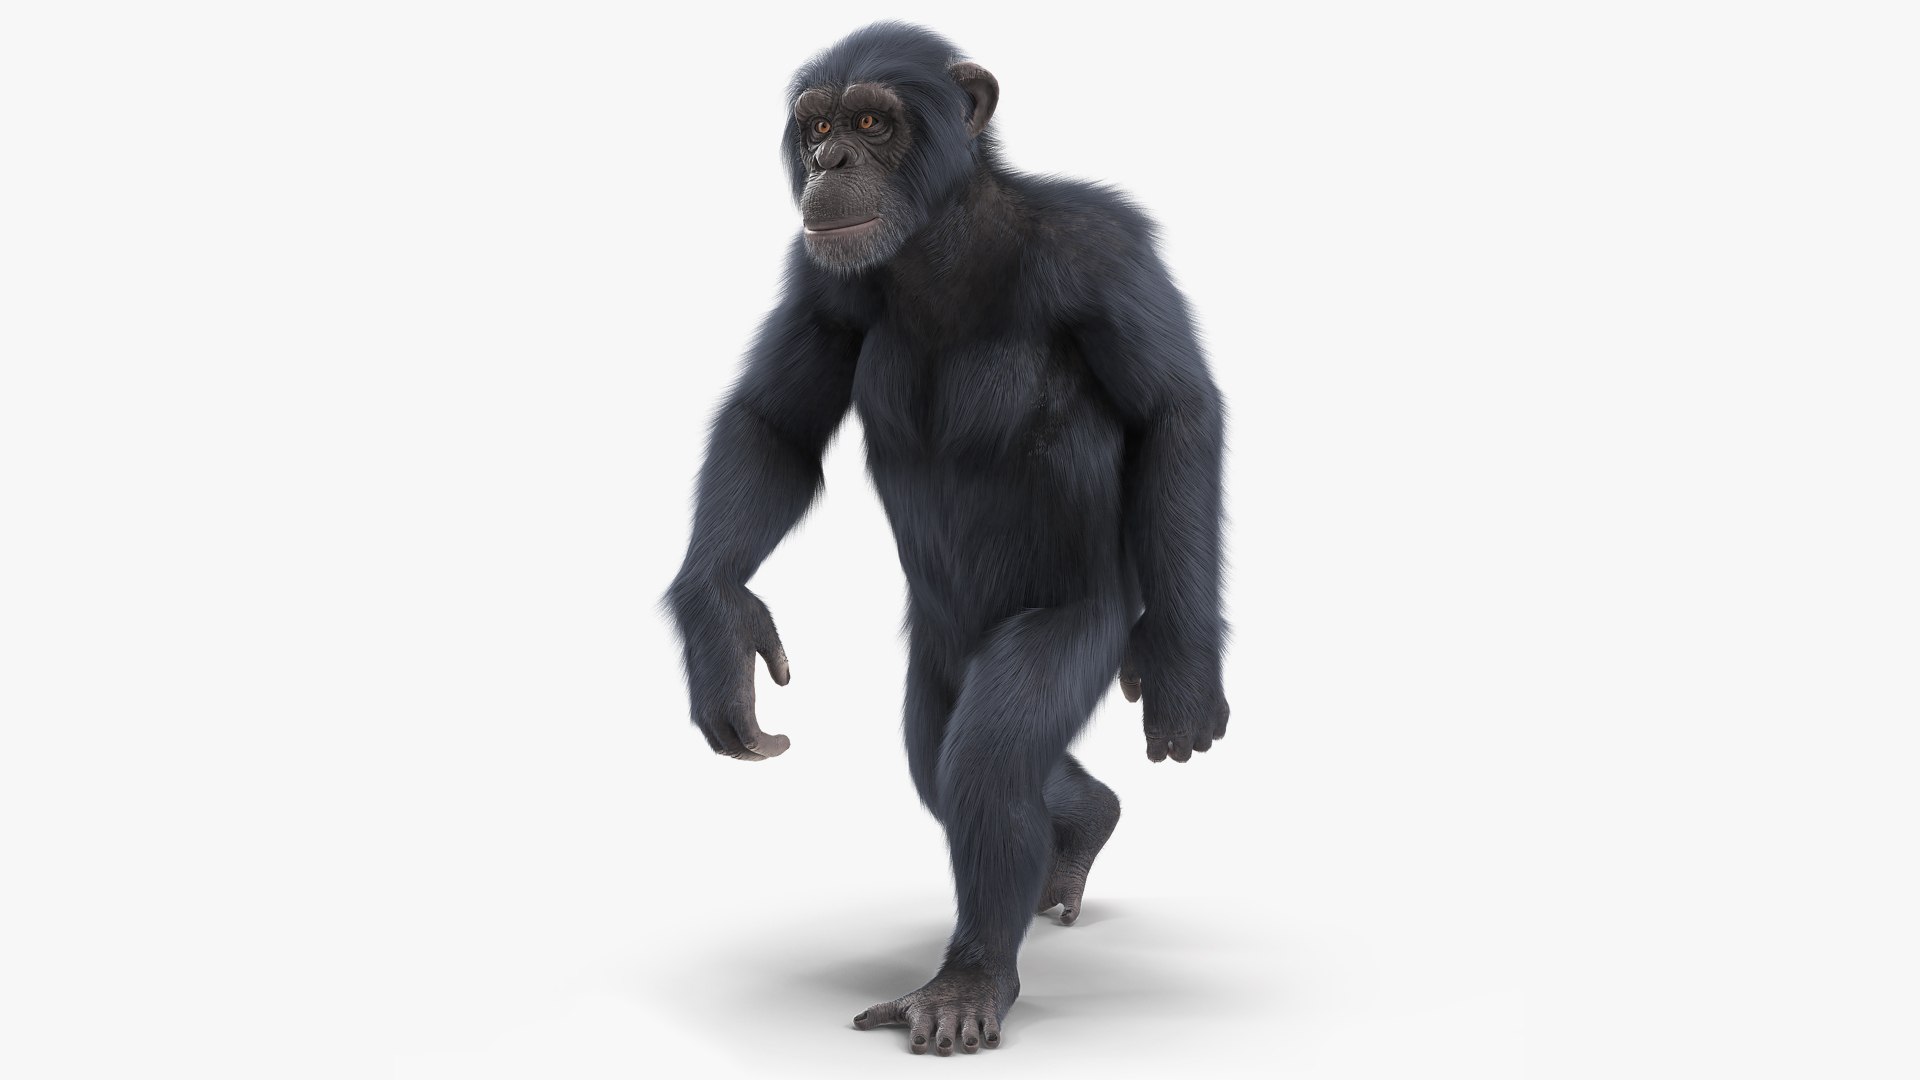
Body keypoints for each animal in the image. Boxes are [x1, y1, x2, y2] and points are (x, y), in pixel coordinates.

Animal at [663, 21, 1230, 1056]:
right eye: (817, 127)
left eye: (872, 123)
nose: (830, 163)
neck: (942, 242)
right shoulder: (820, 278)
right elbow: (774, 425)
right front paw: (719, 625)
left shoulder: (1103, 250)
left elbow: (1173, 414)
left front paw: (1183, 672)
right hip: (936, 650)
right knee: (938, 753)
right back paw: (1079, 832)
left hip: (1085, 620)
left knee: (986, 758)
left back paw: (971, 979)